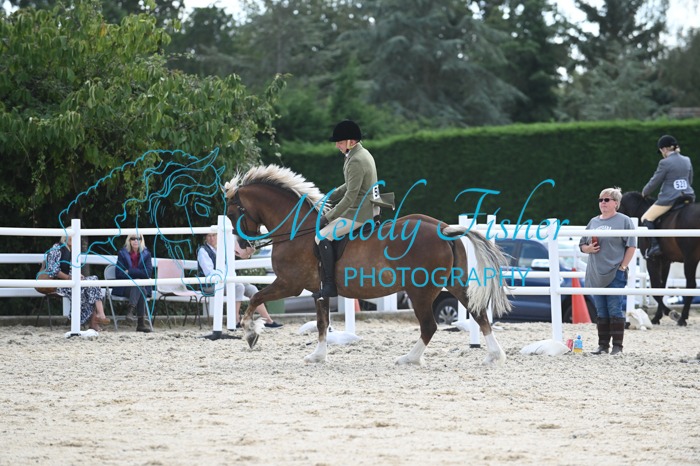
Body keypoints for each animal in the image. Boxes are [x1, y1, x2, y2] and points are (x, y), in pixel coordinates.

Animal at [224, 165, 513, 366]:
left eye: (233, 212)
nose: (243, 248)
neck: (298, 231)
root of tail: (443, 228)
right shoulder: (319, 291)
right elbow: (321, 323)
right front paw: (317, 356)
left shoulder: (288, 285)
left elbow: (255, 299)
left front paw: (250, 333)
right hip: (453, 283)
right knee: (479, 314)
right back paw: (494, 356)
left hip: (420, 291)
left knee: (429, 326)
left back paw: (409, 358)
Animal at [618, 192, 700, 326]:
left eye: (618, 208)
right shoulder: (665, 261)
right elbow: (661, 287)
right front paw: (658, 317)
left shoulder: (652, 261)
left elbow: (655, 289)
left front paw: (671, 314)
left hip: (690, 259)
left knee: (691, 284)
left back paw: (682, 318)